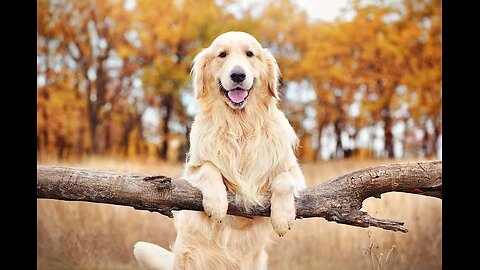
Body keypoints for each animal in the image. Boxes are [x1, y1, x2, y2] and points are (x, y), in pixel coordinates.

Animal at [133, 31, 306, 268]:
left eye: (250, 54)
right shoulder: (192, 169)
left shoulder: (293, 171)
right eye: (222, 54)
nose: (238, 75)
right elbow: (209, 168)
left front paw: (282, 217)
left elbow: (284, 180)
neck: (240, 126)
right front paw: (216, 203)